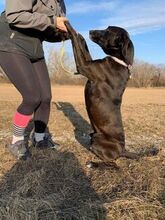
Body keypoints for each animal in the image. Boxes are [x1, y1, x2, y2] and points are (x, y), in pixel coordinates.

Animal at [65, 21, 138, 167]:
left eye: (108, 31)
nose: (90, 31)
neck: (120, 60)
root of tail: (122, 150)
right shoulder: (88, 62)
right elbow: (84, 48)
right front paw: (81, 36)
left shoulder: (84, 66)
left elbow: (76, 42)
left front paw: (69, 26)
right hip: (93, 135)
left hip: (97, 139)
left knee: (113, 165)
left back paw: (93, 164)